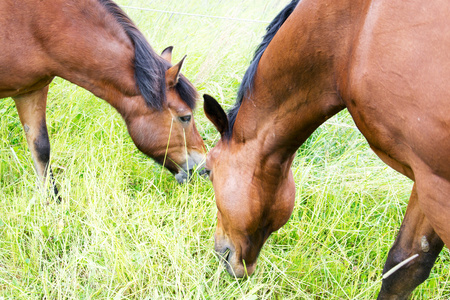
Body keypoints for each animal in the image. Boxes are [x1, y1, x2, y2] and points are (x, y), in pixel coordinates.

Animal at [0, 0, 206, 196]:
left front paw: (52, 201)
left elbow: (41, 149)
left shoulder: (31, 91)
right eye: (186, 117)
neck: (35, 26)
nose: (203, 167)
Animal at [203, 0, 450, 296]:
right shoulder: (427, 178)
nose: (221, 253)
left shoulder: (438, 187)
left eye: (207, 171)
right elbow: (404, 267)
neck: (350, 35)